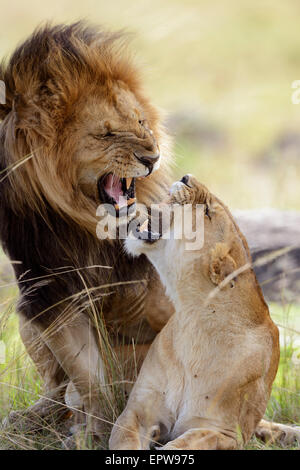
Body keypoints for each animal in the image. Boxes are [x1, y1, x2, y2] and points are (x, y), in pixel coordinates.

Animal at [0, 23, 298, 448]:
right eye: (107, 134)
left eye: (141, 123)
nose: (160, 162)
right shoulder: (49, 292)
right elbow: (91, 382)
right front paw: (90, 430)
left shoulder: (220, 428)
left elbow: (185, 438)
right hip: (27, 316)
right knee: (57, 389)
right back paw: (34, 418)